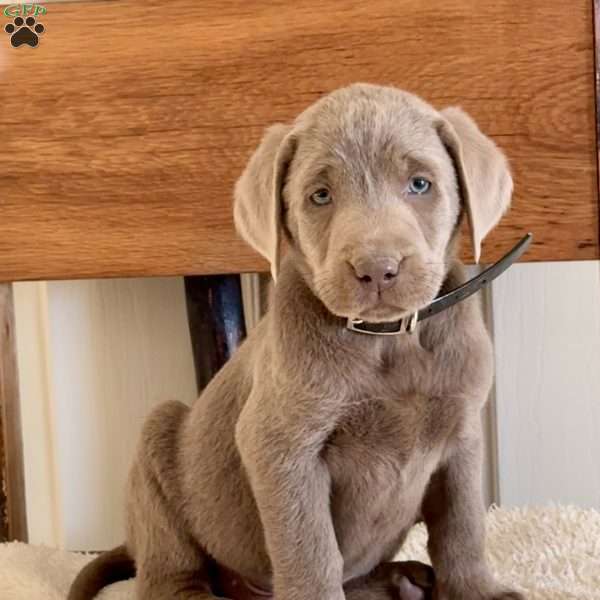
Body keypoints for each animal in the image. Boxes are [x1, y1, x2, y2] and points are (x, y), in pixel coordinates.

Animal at [68, 83, 524, 600]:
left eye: (420, 184)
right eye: (320, 195)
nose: (377, 268)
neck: (387, 339)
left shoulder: (462, 436)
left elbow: (463, 525)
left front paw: (478, 591)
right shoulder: (282, 447)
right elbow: (310, 549)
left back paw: (402, 579)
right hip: (157, 446)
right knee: (168, 574)